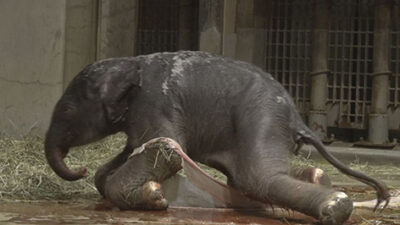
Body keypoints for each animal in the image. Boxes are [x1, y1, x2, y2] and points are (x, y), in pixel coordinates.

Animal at [44, 51, 390, 225]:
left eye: (68, 109)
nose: (79, 169)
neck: (129, 63)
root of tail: (296, 117)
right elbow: (125, 155)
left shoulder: (153, 103)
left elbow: (167, 144)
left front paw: (155, 191)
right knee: (247, 179)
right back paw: (318, 177)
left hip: (261, 119)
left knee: (257, 178)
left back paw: (336, 205)